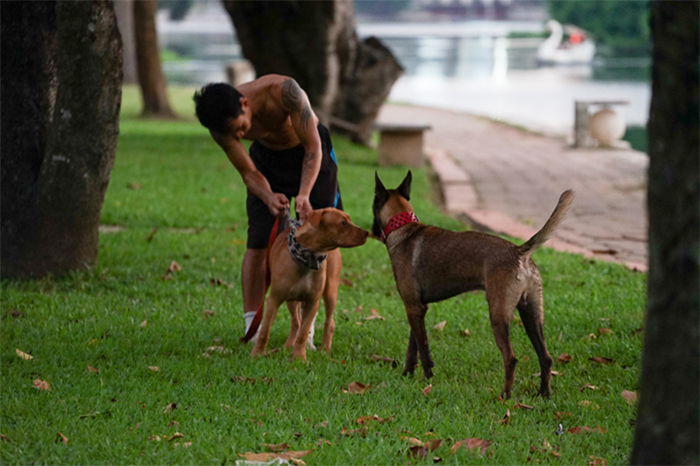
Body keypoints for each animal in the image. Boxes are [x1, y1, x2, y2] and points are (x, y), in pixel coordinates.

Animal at [253, 209, 372, 362]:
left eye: (349, 220)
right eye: (343, 223)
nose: (366, 233)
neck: (309, 257)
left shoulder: (312, 302)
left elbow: (303, 333)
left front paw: (299, 357)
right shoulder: (274, 299)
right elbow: (265, 330)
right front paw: (257, 354)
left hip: (331, 291)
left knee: (329, 322)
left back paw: (325, 350)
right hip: (291, 300)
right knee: (296, 321)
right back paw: (288, 345)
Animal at [374, 171, 572, 396]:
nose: (371, 230)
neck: (405, 228)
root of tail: (519, 252)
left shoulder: (414, 308)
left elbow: (423, 351)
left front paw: (427, 379)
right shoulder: (416, 308)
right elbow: (413, 347)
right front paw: (407, 374)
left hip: (499, 316)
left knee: (511, 358)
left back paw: (505, 396)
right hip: (532, 315)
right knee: (545, 357)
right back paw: (543, 394)